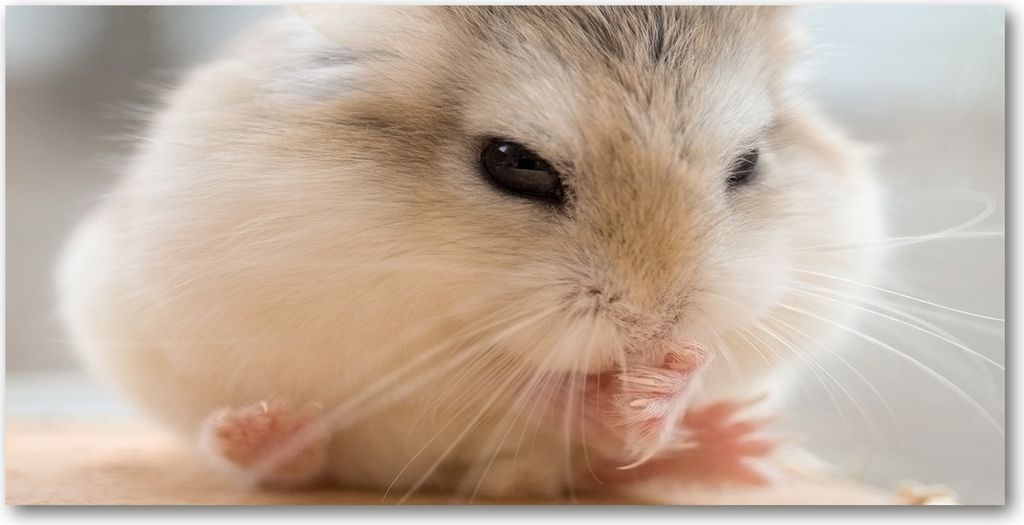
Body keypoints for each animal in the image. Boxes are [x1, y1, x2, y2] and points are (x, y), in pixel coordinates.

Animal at [56, 6, 882, 501]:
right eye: (513, 162)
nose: (654, 328)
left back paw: (731, 442)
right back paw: (265, 434)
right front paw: (600, 390)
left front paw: (664, 388)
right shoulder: (363, 322)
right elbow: (488, 373)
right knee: (291, 462)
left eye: (747, 164)